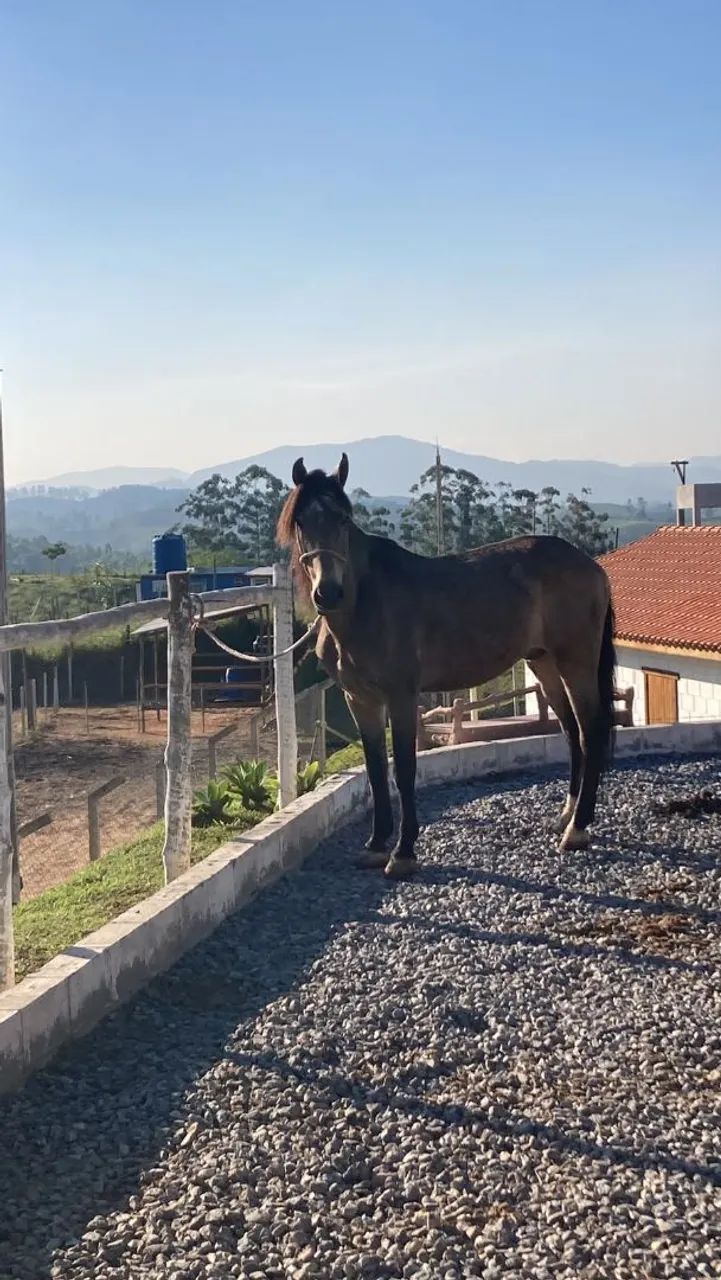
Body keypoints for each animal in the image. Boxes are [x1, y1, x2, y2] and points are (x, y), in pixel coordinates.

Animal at [277, 453, 616, 880]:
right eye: (302, 522)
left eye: (342, 519)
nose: (328, 593)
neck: (366, 604)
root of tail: (592, 566)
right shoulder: (360, 700)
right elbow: (375, 770)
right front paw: (376, 845)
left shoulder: (402, 697)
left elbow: (404, 769)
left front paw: (403, 852)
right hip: (544, 664)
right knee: (571, 732)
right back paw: (566, 816)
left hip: (576, 662)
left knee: (590, 731)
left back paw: (578, 830)